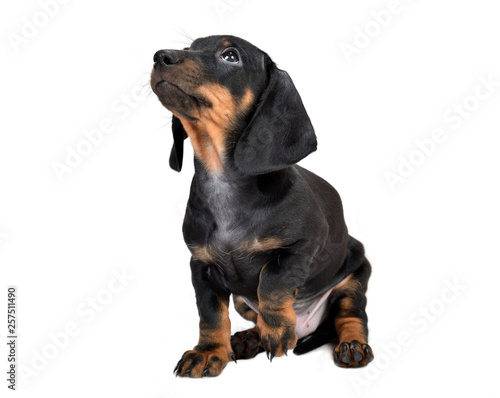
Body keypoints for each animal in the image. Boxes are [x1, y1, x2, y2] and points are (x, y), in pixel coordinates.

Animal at [150, 35, 374, 378]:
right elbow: (210, 315)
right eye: (190, 48)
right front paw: (209, 352)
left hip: (356, 276)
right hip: (243, 301)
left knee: (351, 315)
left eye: (230, 56)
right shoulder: (201, 266)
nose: (160, 56)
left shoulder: (301, 248)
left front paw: (277, 330)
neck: (225, 184)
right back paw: (248, 339)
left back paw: (351, 345)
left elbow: (272, 282)